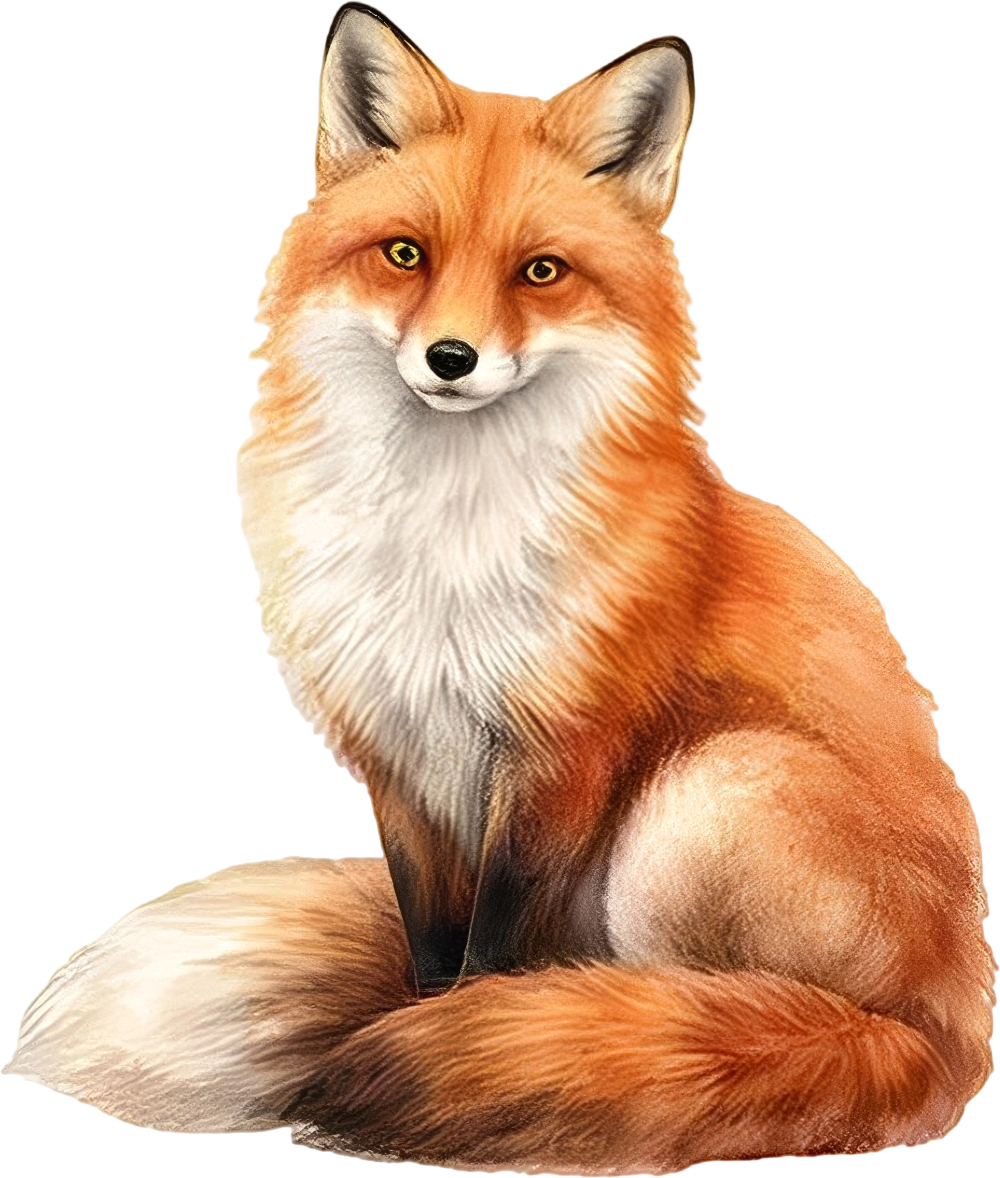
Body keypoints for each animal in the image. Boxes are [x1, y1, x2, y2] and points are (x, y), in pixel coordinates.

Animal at [3, 3, 993, 1172]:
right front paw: (433, 1038)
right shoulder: (400, 758)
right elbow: (435, 945)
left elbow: (497, 948)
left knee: (725, 1016)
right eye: (404, 254)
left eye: (540, 271)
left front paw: (460, 1058)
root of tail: (952, 1038)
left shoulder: (561, 754)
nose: (450, 357)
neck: (440, 540)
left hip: (706, 791)